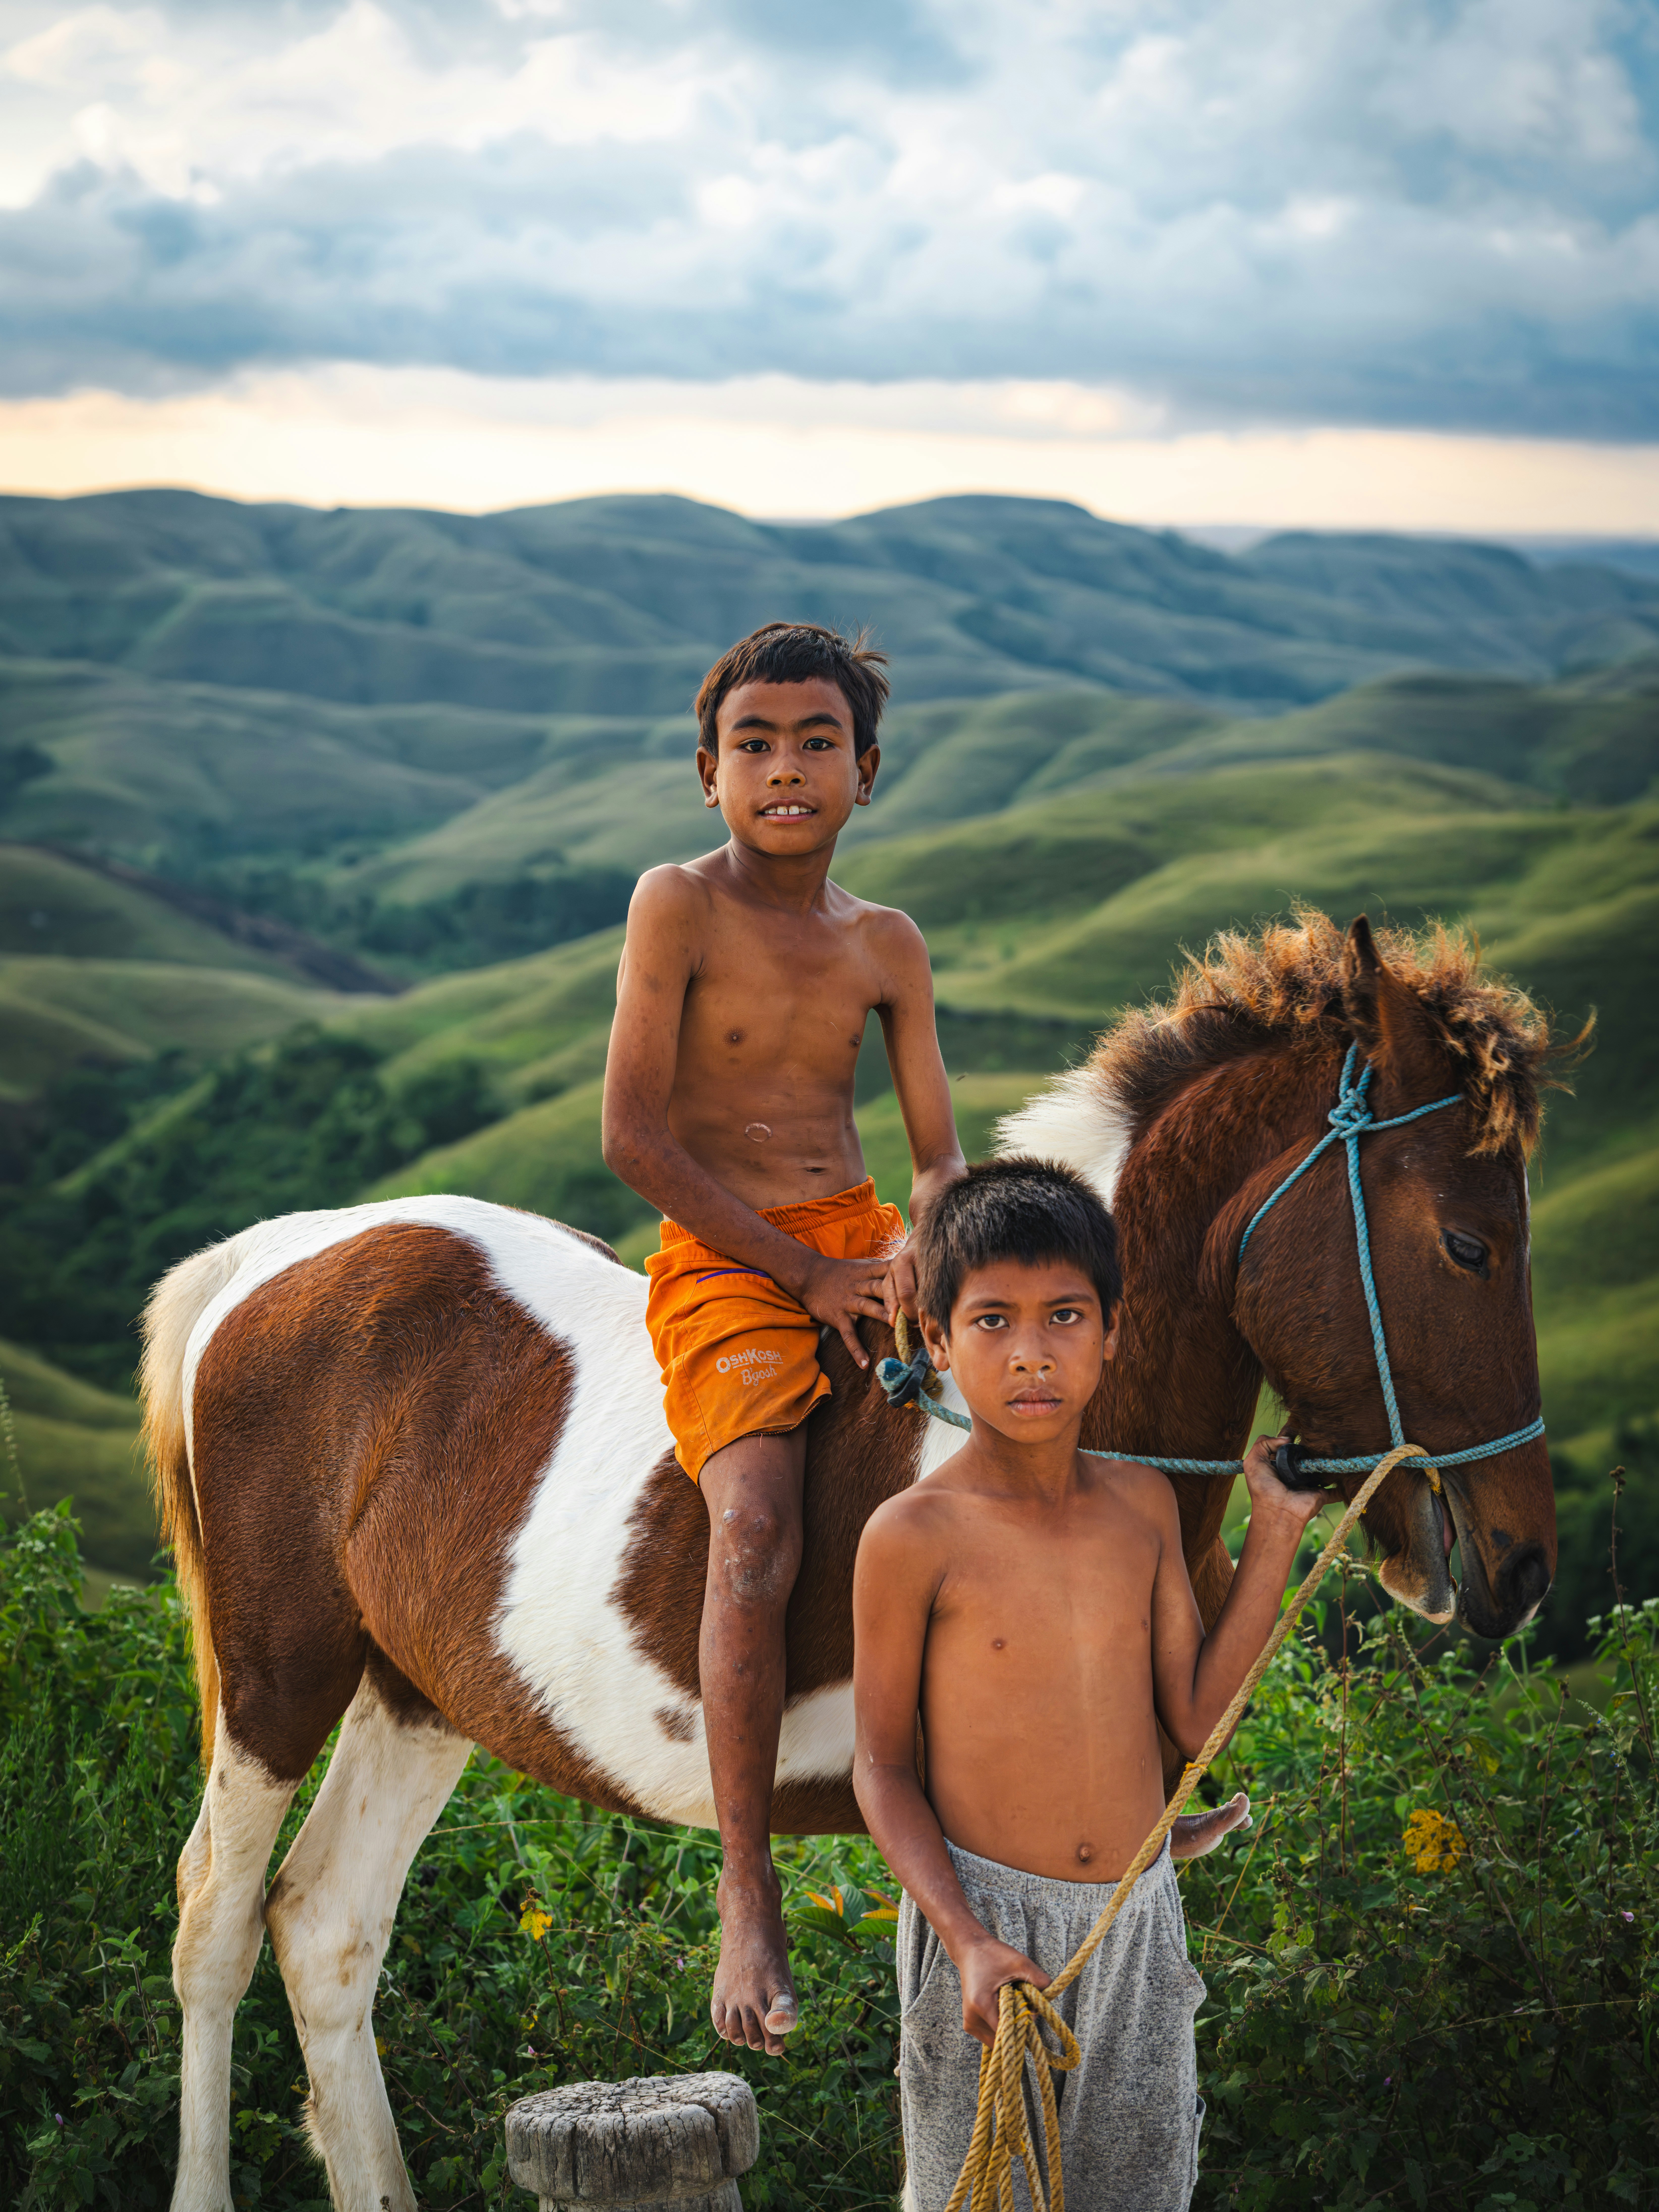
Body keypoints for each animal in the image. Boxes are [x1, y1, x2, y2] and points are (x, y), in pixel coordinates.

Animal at [143, 911, 1560, 2212]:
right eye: (1467, 1245)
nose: (1525, 1561)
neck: (1047, 1435)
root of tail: (268, 1254)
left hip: (418, 1690)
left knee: (326, 1925)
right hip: (278, 1671)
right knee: (215, 1917)